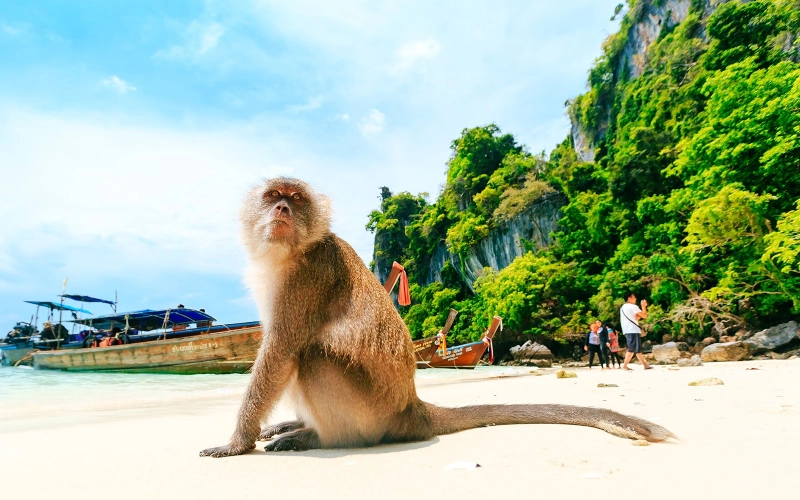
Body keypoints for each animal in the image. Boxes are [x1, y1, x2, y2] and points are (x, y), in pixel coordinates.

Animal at [200, 177, 674, 457]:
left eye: (295, 199)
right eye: (272, 197)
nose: (282, 210)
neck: (291, 252)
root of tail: (412, 408)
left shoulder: (306, 278)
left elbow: (280, 351)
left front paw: (236, 443)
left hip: (369, 413)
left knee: (311, 355)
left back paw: (317, 436)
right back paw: (299, 425)